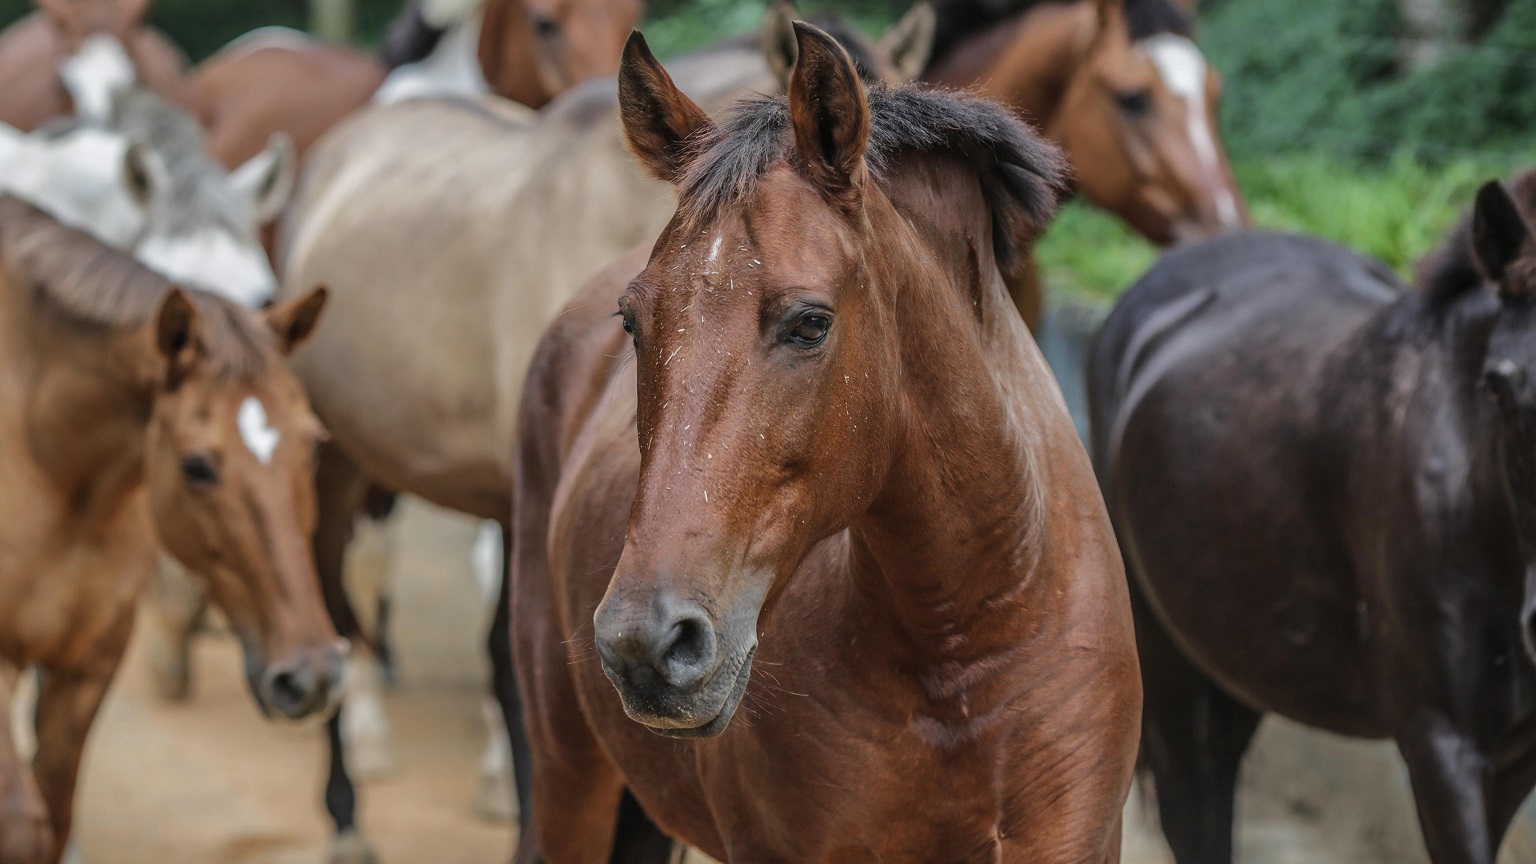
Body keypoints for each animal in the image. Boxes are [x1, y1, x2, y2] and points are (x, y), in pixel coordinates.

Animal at [0, 195, 336, 864]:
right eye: (195, 466)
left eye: (313, 446)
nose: (311, 676)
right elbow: (21, 827)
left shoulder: (89, 663)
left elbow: (54, 815)